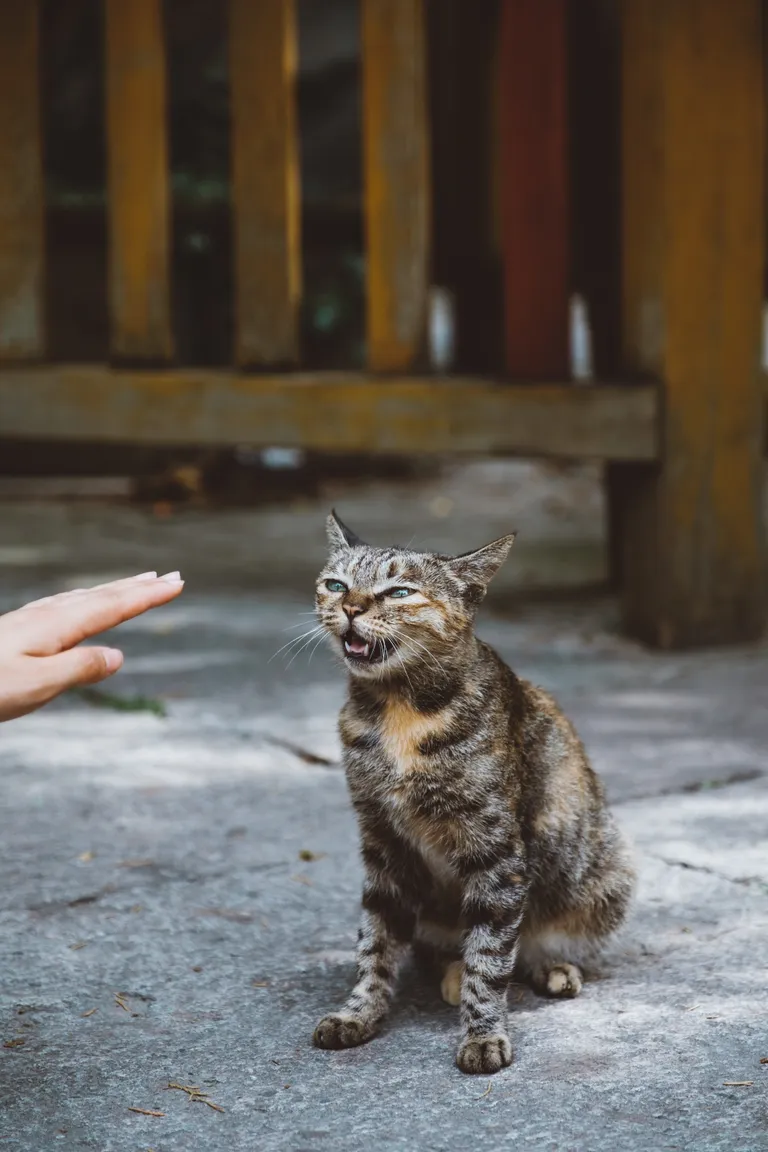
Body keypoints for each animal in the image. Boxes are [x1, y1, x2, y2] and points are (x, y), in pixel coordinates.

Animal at [308, 511, 635, 1069]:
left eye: (399, 592)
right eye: (336, 585)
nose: (351, 607)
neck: (399, 711)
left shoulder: (496, 854)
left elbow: (491, 954)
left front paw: (482, 1034)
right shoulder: (383, 845)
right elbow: (375, 942)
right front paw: (359, 1012)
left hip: (603, 872)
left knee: (526, 944)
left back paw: (550, 967)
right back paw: (452, 972)